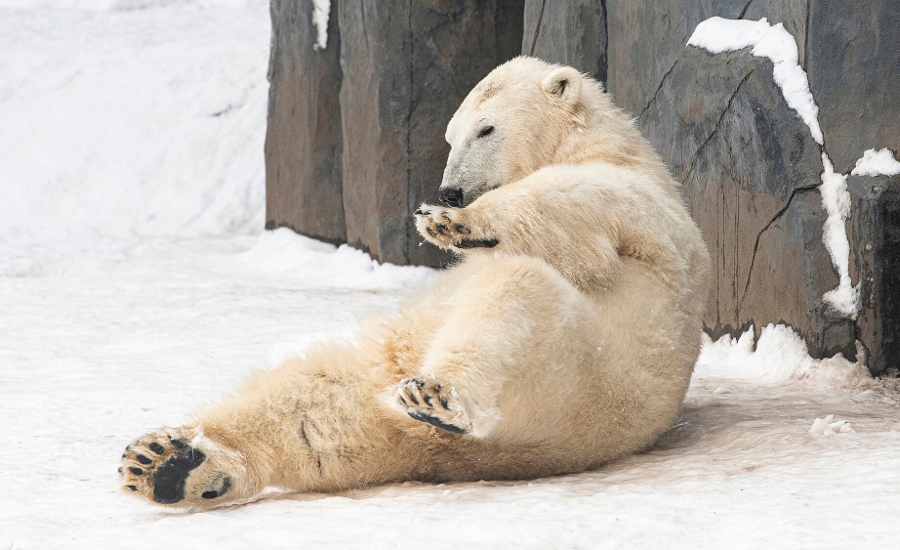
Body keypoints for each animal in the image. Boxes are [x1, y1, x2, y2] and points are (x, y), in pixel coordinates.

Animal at [119, 56, 711, 509]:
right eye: (451, 136)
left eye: (487, 129)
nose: (450, 191)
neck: (599, 141)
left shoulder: (637, 201)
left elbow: (570, 207)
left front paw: (453, 223)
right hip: (395, 371)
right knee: (313, 404)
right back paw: (166, 463)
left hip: (574, 380)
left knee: (516, 298)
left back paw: (436, 396)